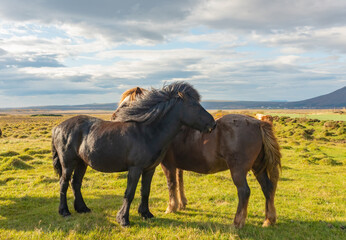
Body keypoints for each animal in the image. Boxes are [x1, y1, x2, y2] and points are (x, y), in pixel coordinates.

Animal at [50, 81, 216, 226]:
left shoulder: (149, 169)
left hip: (81, 163)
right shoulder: (135, 169)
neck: (147, 133)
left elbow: (145, 191)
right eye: (194, 105)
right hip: (68, 163)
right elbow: (129, 193)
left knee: (76, 183)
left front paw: (146, 214)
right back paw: (64, 211)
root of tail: (58, 127)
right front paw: (123, 219)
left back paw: (82, 209)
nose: (213, 124)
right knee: (64, 183)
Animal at [112, 87, 282, 228]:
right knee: (267, 188)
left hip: (239, 171)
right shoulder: (178, 165)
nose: (114, 118)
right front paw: (182, 204)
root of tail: (258, 123)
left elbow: (171, 184)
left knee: (244, 192)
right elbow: (179, 182)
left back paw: (238, 222)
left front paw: (171, 207)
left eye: (128, 105)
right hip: (258, 168)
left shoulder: (167, 165)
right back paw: (269, 220)